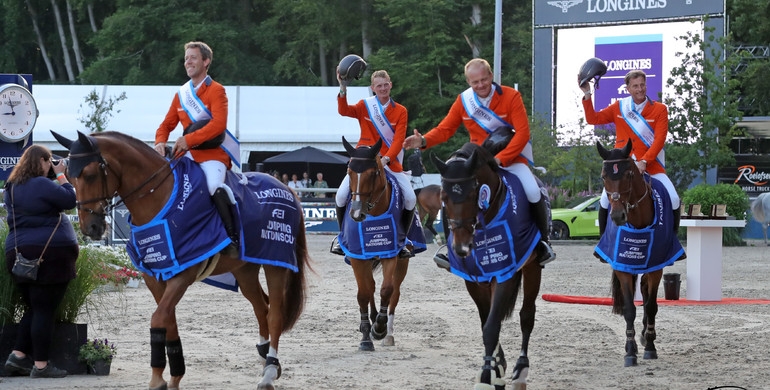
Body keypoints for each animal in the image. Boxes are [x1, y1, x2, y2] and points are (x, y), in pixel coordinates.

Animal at [51, 132, 312, 390]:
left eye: (90, 174)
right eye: (70, 178)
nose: (91, 228)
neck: (161, 201)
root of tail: (285, 188)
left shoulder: (182, 275)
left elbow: (159, 319)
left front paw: (158, 379)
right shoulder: (155, 277)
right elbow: (169, 322)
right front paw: (174, 377)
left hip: (276, 263)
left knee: (274, 314)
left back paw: (268, 373)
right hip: (245, 269)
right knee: (261, 308)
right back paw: (267, 360)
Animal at [340, 136, 412, 350]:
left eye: (374, 173)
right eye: (349, 172)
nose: (356, 214)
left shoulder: (391, 252)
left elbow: (387, 290)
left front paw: (379, 327)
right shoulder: (357, 256)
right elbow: (364, 293)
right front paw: (366, 335)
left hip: (402, 262)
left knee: (394, 292)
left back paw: (388, 333)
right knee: (369, 286)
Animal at [432, 143, 540, 390]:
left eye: (473, 195)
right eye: (443, 197)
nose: (462, 248)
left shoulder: (504, 274)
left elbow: (491, 327)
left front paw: (486, 376)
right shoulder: (474, 280)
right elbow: (486, 322)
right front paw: (495, 368)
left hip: (533, 268)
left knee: (527, 315)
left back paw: (521, 369)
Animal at [592, 142, 680, 368]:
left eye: (629, 174)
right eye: (603, 176)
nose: (617, 216)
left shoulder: (657, 266)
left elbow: (651, 306)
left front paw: (650, 347)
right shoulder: (622, 265)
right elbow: (629, 308)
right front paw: (630, 352)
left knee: (647, 296)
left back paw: (646, 335)